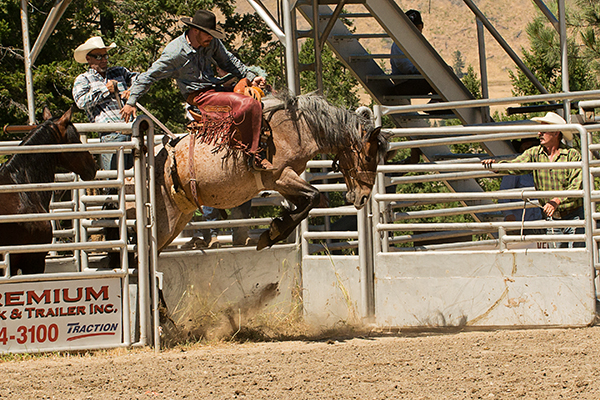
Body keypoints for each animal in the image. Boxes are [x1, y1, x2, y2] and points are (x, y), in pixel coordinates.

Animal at [153, 93, 388, 252]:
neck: (299, 129)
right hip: (166, 222)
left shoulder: (280, 182)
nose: (363, 197)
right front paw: (274, 232)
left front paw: (276, 229)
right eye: (368, 157)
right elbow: (313, 196)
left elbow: (305, 204)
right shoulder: (280, 175)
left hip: (178, 219)